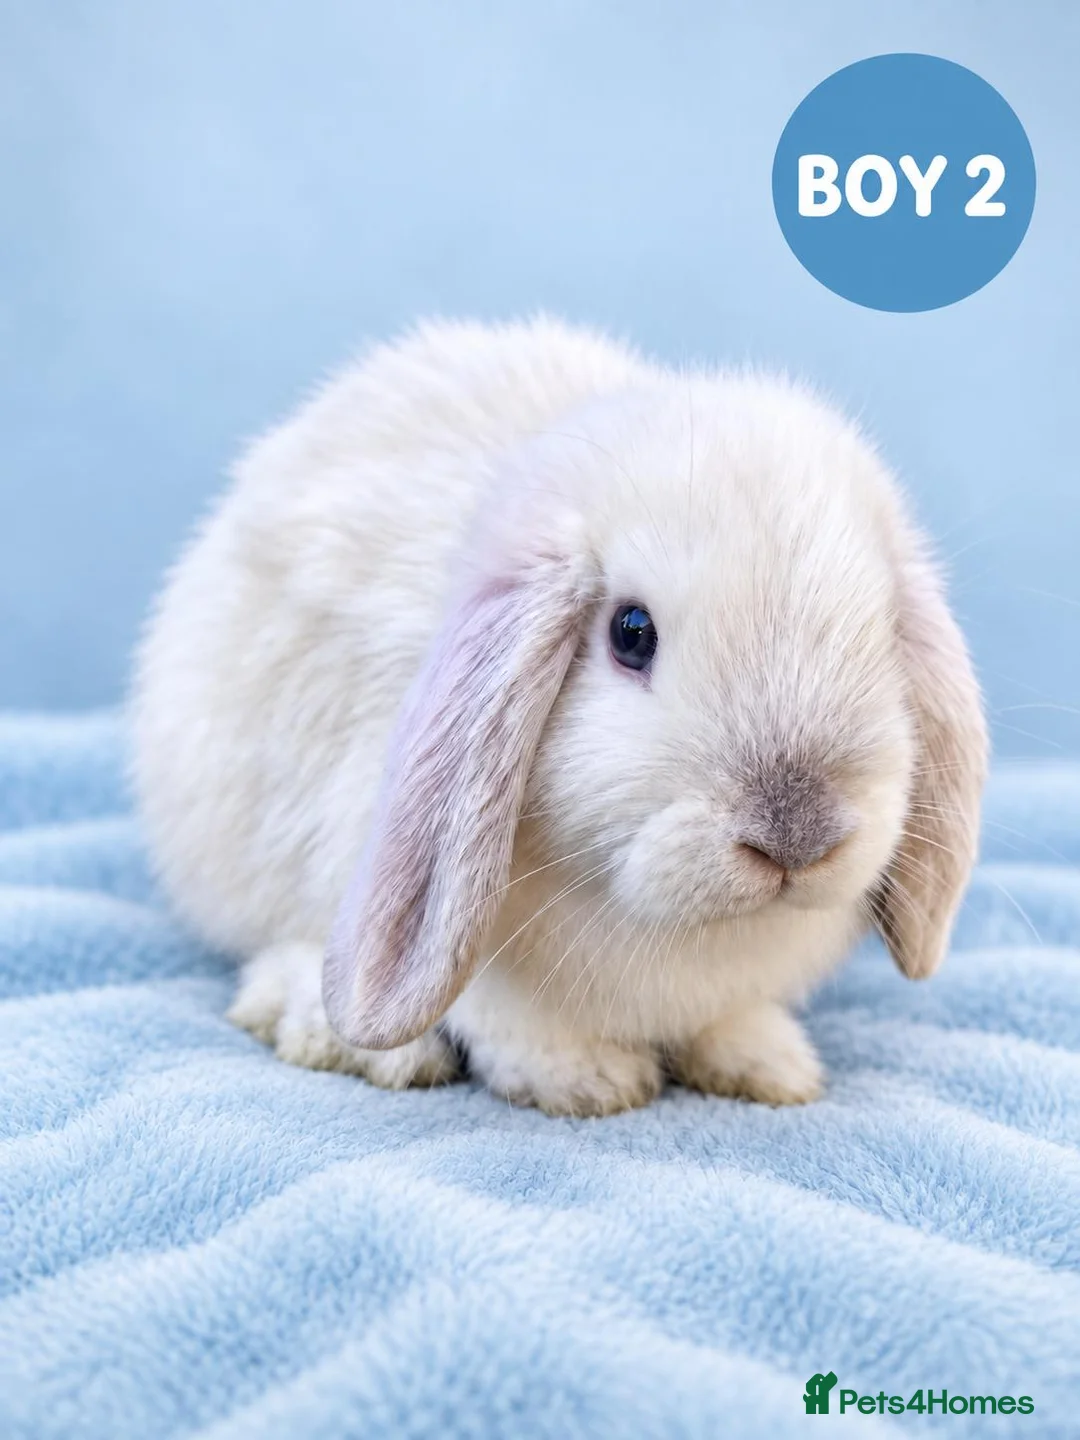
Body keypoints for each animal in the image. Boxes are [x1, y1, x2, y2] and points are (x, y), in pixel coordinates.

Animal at [130, 315, 987, 1117]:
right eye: (631, 633)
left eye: (881, 630)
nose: (797, 838)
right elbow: (504, 1014)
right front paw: (586, 1080)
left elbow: (727, 1020)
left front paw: (768, 1067)